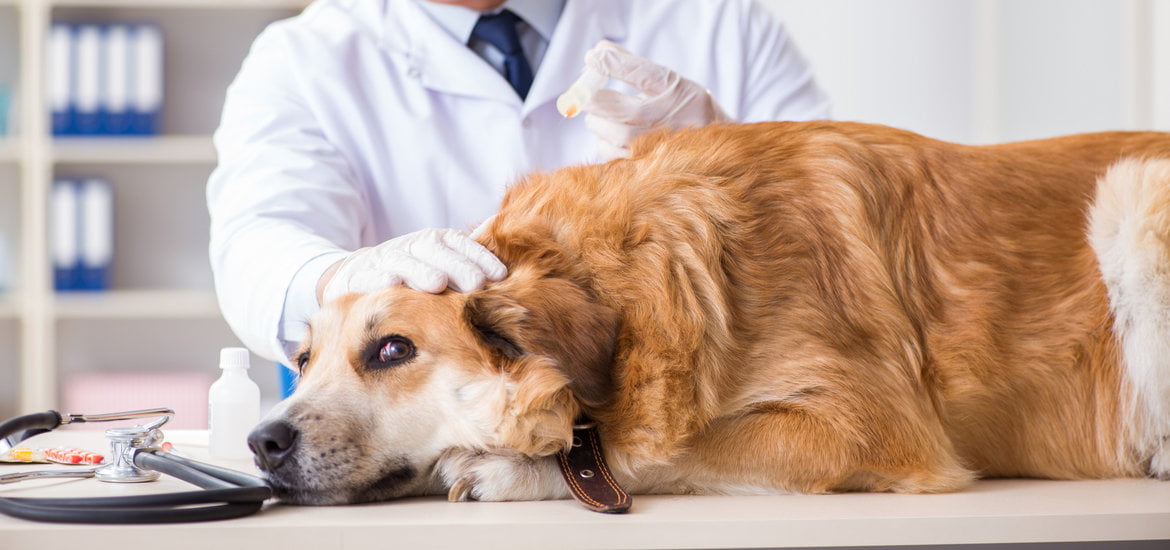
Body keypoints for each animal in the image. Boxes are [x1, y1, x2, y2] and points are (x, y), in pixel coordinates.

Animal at [249, 121, 1170, 507]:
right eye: (304, 358)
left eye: (392, 350)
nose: (264, 442)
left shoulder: (871, 429)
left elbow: (665, 446)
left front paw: (520, 470)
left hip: (1133, 197)